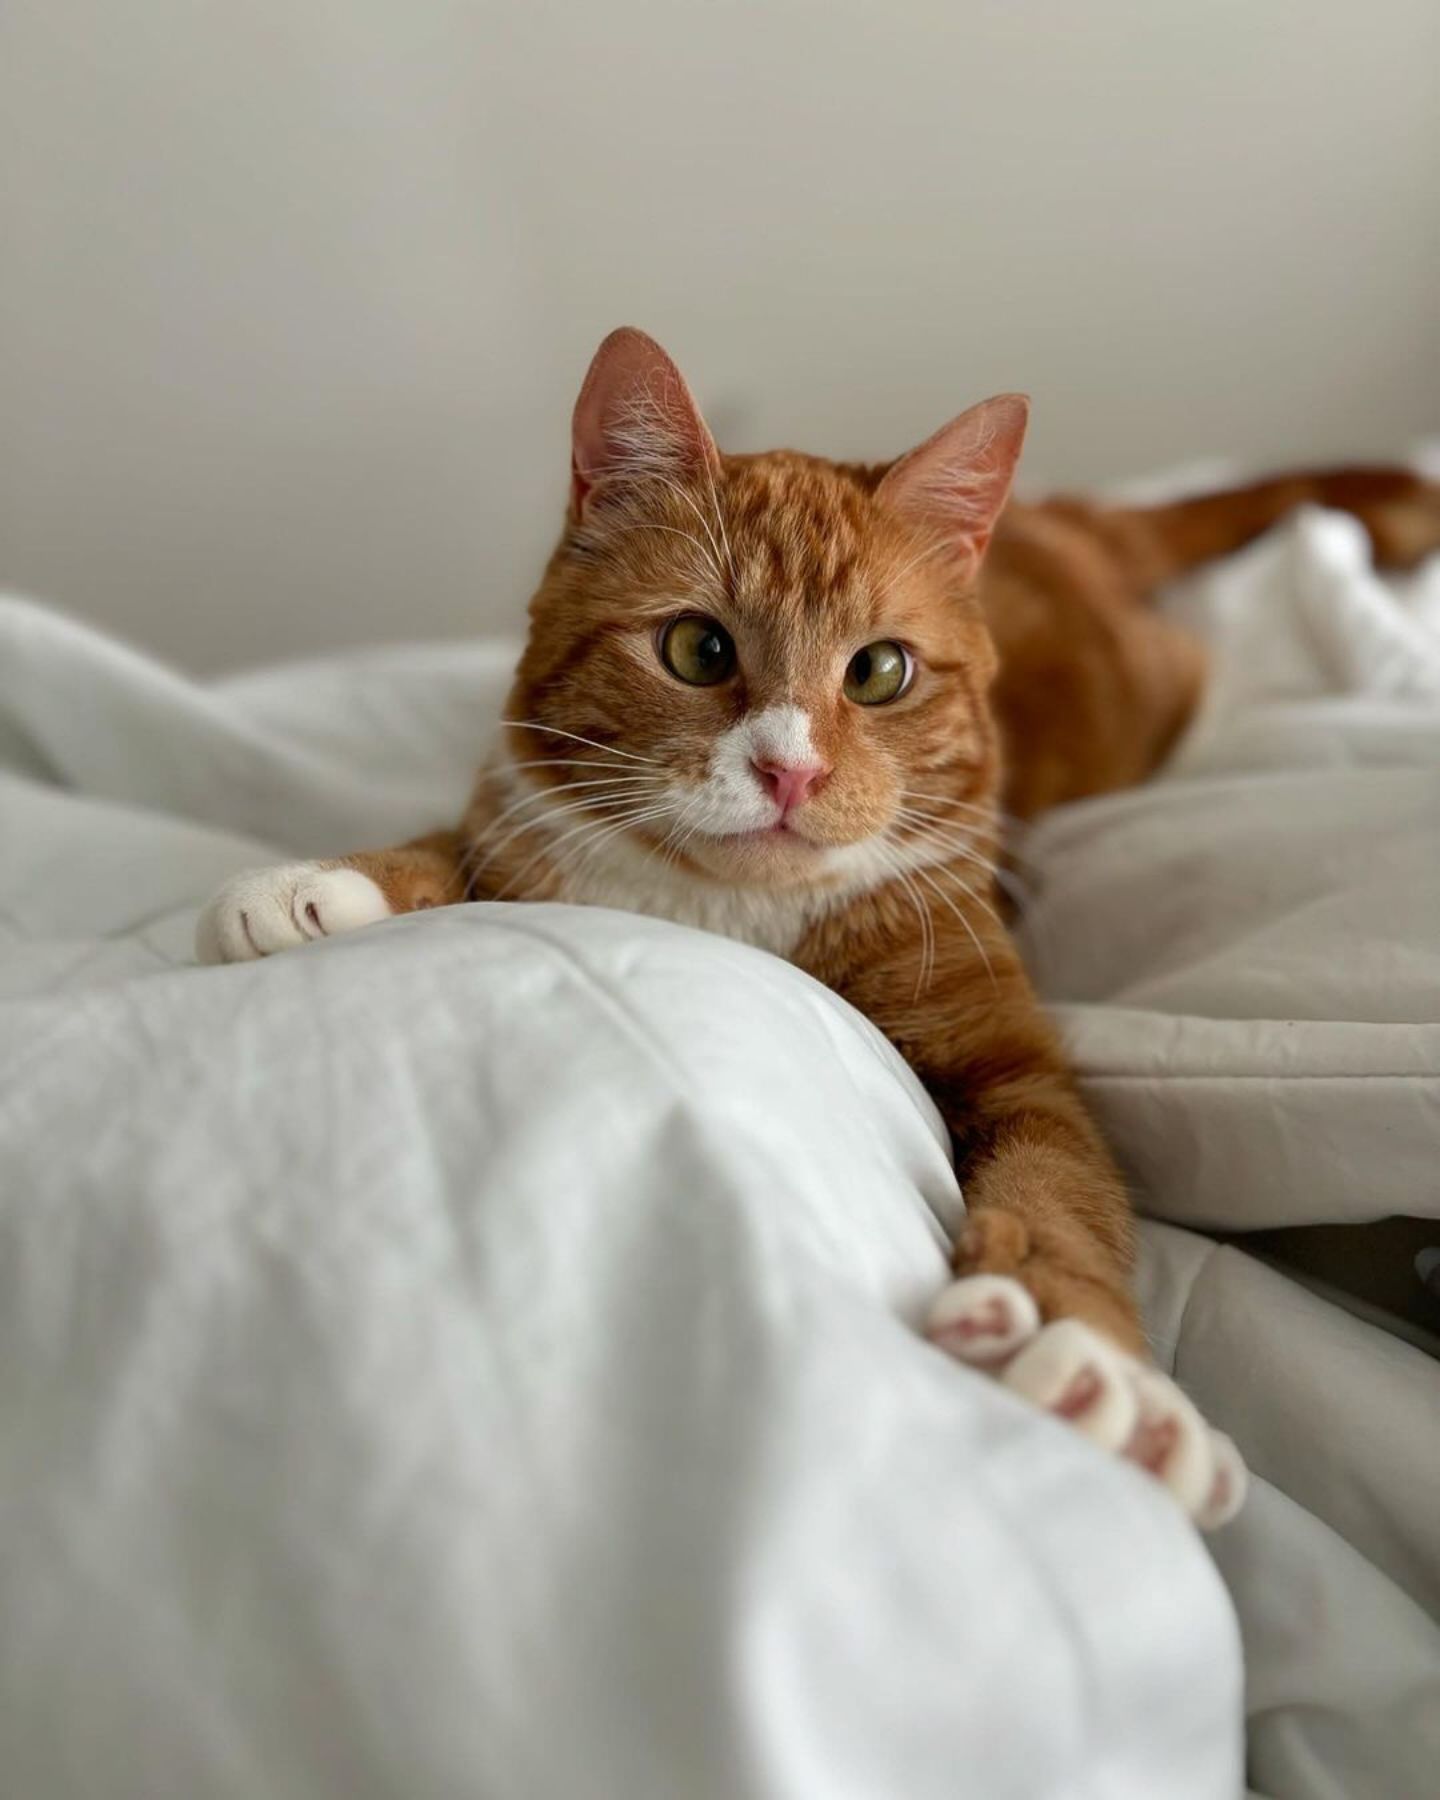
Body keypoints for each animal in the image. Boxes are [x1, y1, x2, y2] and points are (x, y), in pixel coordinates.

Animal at [197, 327, 1440, 1533]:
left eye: (880, 671)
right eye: (698, 649)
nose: (790, 771)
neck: (731, 909)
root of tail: (1061, 517)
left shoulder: (1016, 1068)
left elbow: (1061, 1197)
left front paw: (1085, 1355)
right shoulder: (524, 826)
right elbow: (449, 849)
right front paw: (326, 884)